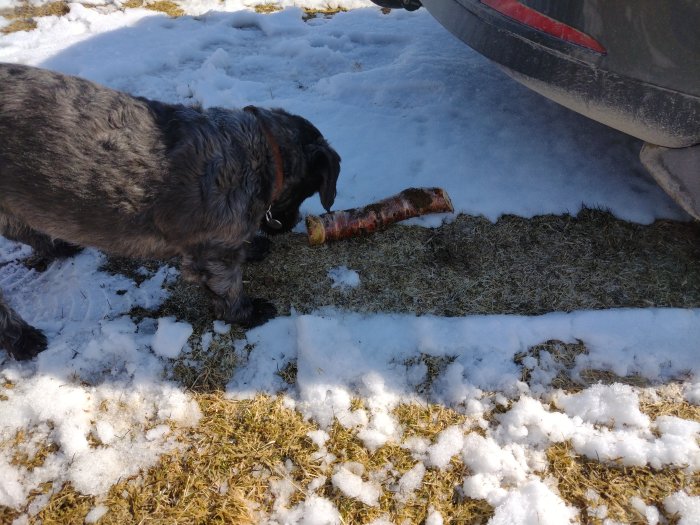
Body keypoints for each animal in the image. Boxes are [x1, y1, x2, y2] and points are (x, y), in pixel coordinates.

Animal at [0, 62, 340, 360]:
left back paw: (60, 246)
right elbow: (228, 287)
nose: (291, 223)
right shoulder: (216, 255)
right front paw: (247, 313)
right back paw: (23, 339)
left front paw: (253, 246)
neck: (263, 152)